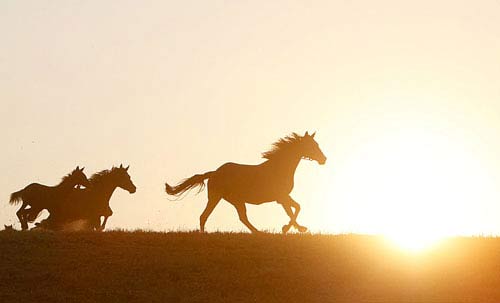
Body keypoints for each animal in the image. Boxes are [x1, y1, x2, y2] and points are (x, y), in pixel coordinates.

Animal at [166, 132, 326, 234]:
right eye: (311, 145)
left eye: (316, 144)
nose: (324, 159)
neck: (279, 168)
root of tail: (214, 172)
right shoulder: (281, 197)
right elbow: (295, 209)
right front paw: (288, 228)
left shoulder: (282, 198)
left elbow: (295, 209)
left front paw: (295, 228)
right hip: (224, 198)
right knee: (210, 216)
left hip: (228, 199)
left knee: (232, 216)